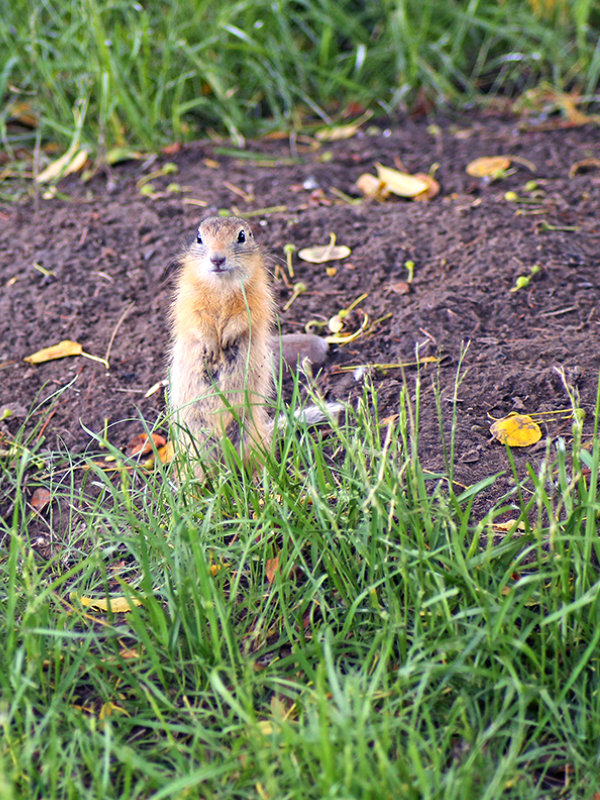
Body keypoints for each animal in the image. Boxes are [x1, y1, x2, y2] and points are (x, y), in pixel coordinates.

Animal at [170, 214, 276, 476]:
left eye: (242, 236)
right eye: (199, 237)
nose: (217, 259)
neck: (221, 286)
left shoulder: (257, 295)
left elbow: (244, 318)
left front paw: (226, 339)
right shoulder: (188, 298)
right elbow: (197, 320)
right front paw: (212, 347)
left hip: (249, 435)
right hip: (195, 442)